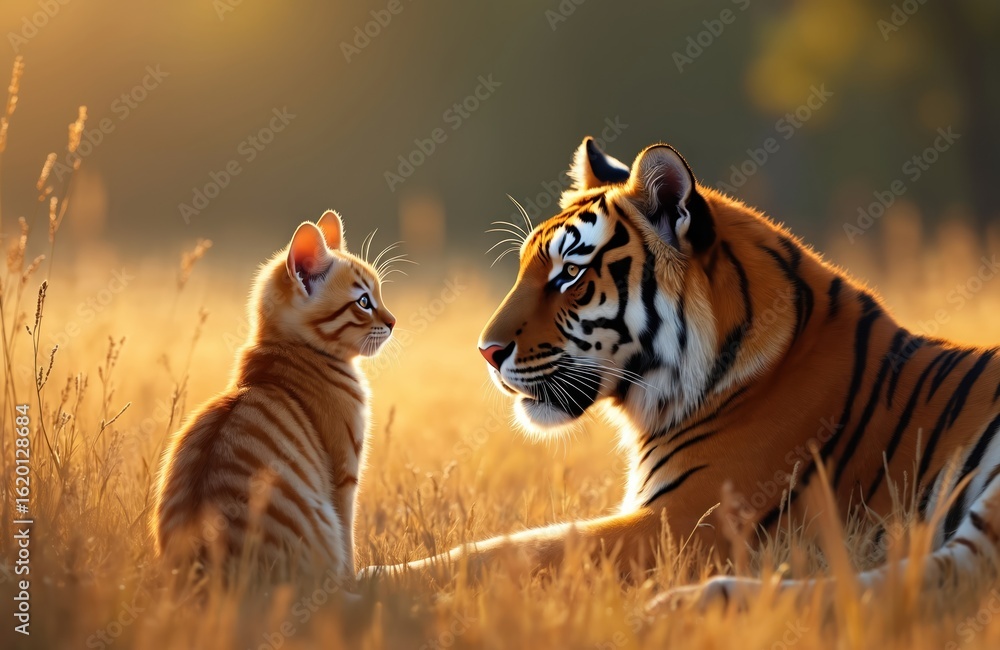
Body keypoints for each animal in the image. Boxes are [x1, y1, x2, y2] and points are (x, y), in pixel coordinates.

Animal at [153, 210, 395, 587]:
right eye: (364, 302)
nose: (394, 321)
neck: (288, 348)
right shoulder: (345, 475)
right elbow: (348, 543)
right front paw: (353, 576)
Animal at [362, 138, 1000, 609]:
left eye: (569, 274)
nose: (486, 351)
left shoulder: (687, 521)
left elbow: (518, 548)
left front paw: (369, 582)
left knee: (931, 578)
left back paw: (688, 604)